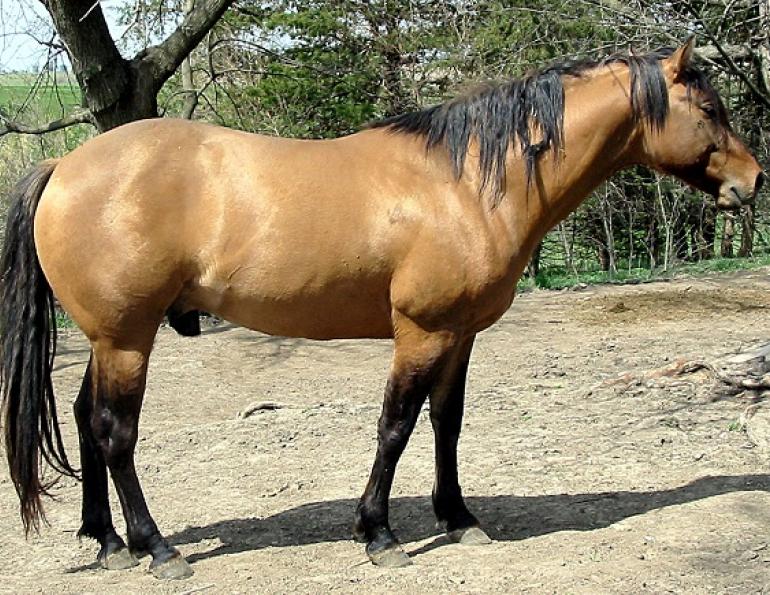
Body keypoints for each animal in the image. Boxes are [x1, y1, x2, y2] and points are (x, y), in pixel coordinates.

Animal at [0, 39, 764, 579]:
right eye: (710, 109)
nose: (753, 181)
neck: (467, 181)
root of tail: (63, 167)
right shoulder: (421, 333)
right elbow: (395, 427)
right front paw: (378, 532)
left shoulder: (460, 335)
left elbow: (446, 425)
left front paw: (459, 518)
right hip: (128, 338)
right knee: (114, 432)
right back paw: (156, 548)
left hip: (109, 339)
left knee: (85, 422)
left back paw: (107, 541)